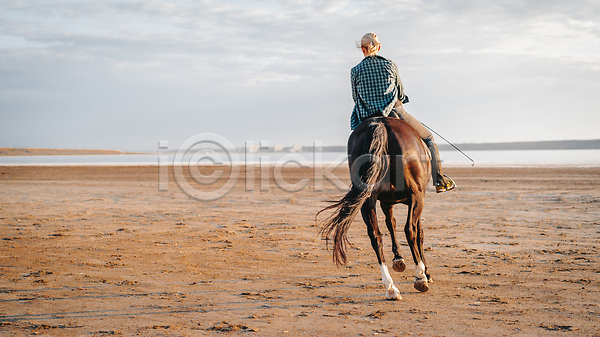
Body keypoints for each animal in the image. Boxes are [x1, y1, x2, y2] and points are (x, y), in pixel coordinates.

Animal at [318, 116, 432, 300]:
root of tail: (380, 122)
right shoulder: (416, 198)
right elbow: (418, 233)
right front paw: (425, 272)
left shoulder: (386, 203)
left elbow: (391, 224)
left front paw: (398, 259)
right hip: (416, 195)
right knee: (410, 230)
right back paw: (420, 277)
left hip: (367, 200)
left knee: (375, 236)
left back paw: (390, 287)